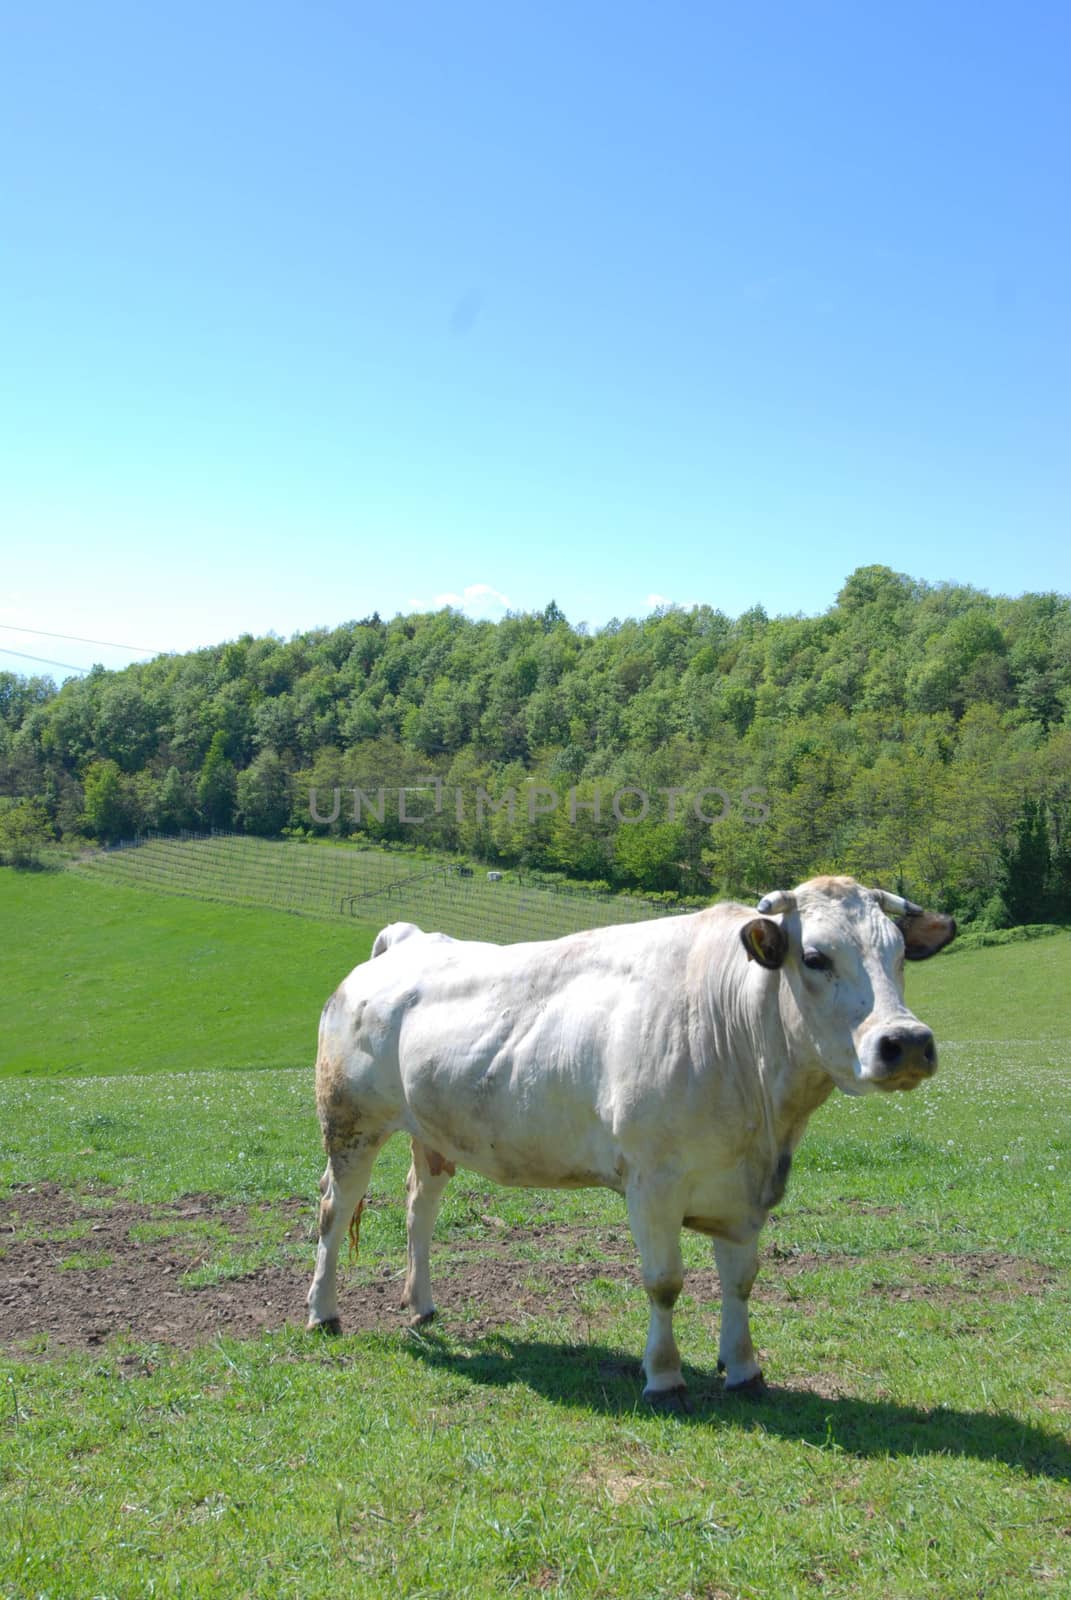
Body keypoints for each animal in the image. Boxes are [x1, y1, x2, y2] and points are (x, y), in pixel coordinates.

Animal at [307, 876, 954, 1401]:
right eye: (816, 957)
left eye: (899, 955)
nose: (907, 1042)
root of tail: (409, 938)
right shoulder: (653, 1184)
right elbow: (664, 1283)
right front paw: (664, 1377)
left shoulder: (743, 1192)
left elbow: (741, 1281)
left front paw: (744, 1369)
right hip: (350, 1121)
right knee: (334, 1210)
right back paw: (323, 1313)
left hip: (433, 1132)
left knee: (419, 1207)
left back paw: (420, 1305)